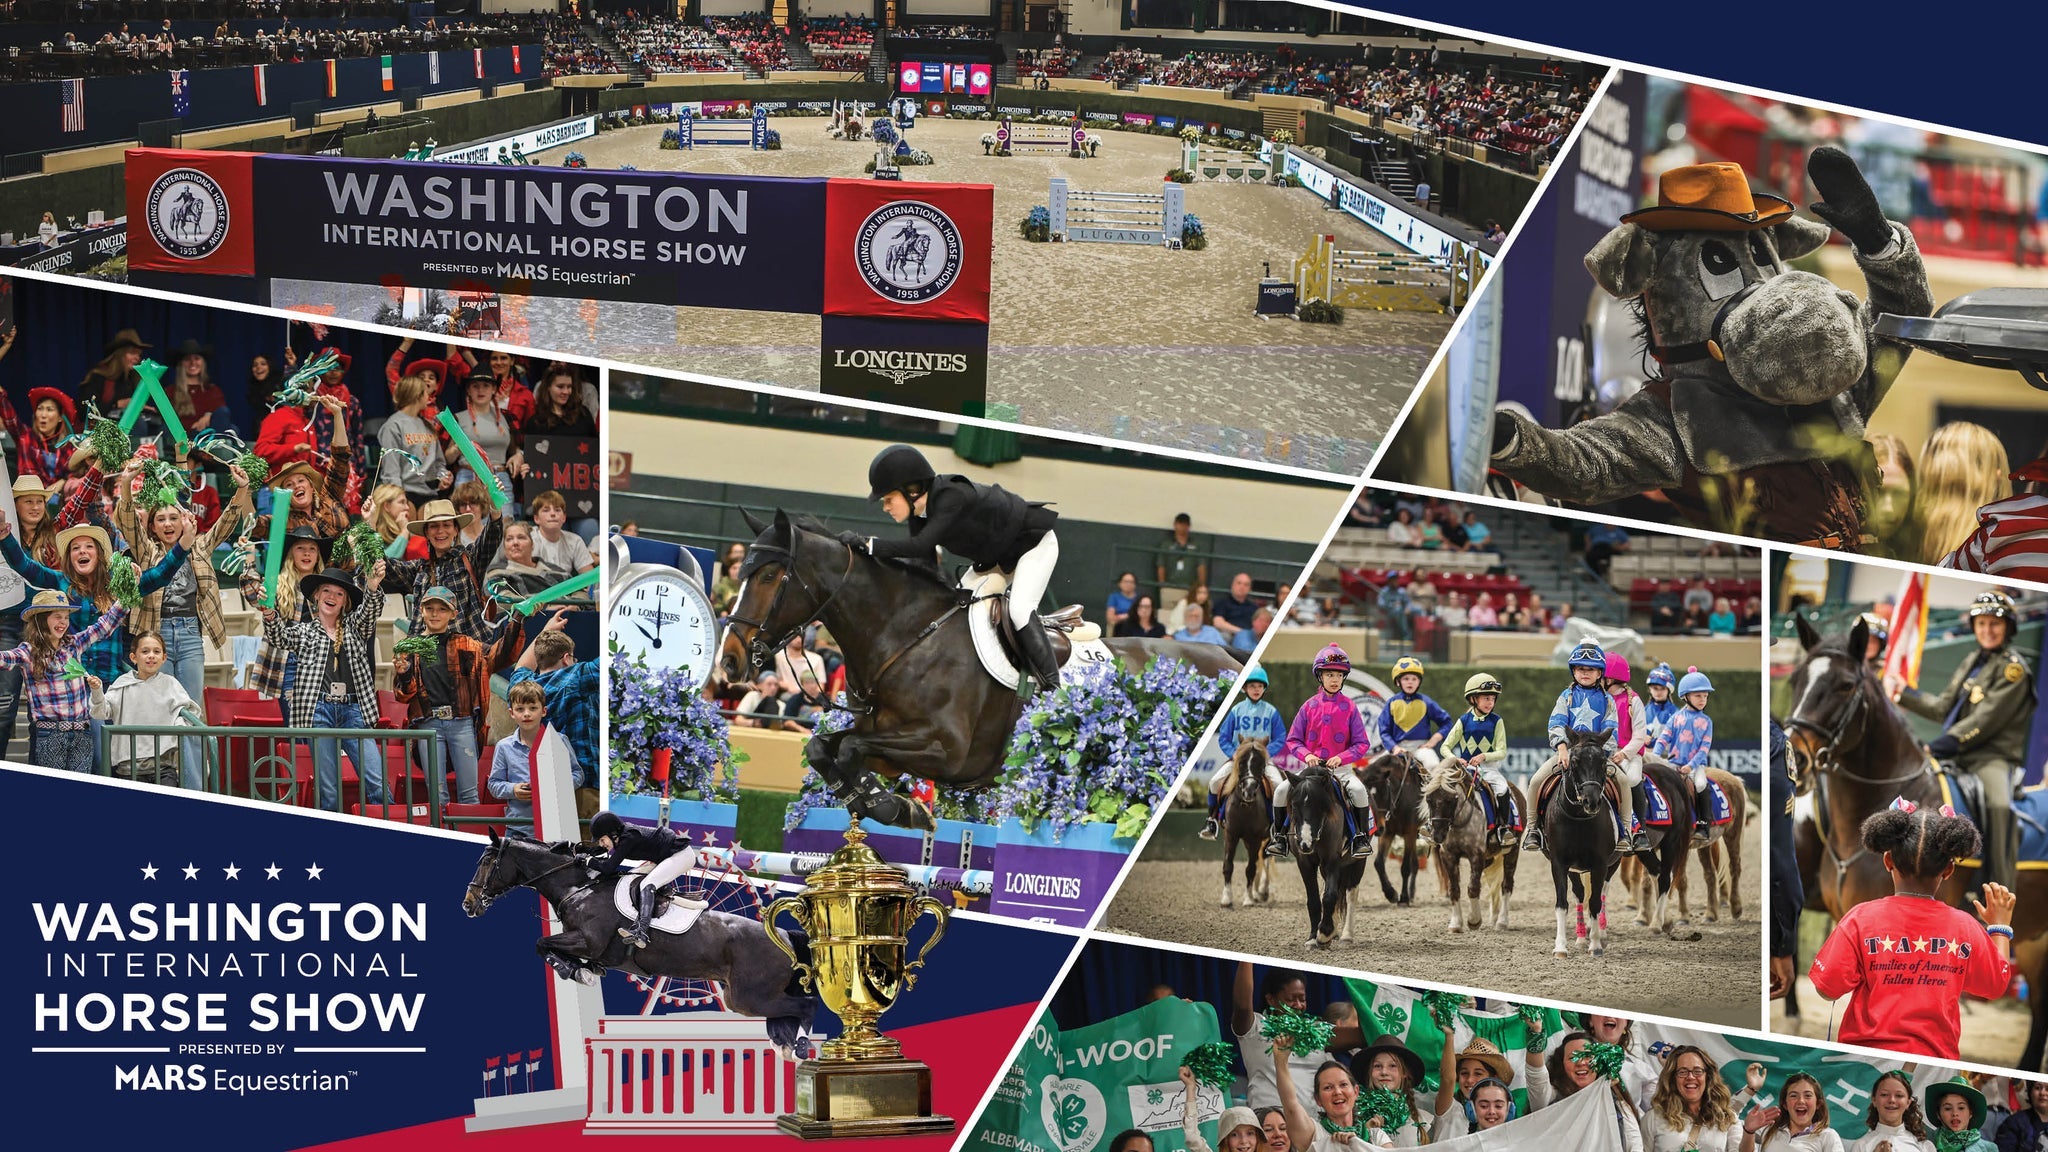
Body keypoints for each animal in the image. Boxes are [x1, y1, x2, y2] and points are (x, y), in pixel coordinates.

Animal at [464, 828, 815, 1057]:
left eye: (487, 862)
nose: (468, 905)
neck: (578, 888)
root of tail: (784, 936)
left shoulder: (588, 941)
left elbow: (541, 943)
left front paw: (578, 971)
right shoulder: (584, 944)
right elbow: (547, 946)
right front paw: (583, 970)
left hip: (749, 998)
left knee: (806, 1005)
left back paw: (800, 1048)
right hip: (743, 997)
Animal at [720, 508, 1236, 824]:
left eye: (770, 576)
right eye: (741, 573)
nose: (730, 659)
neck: (906, 637)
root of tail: (1227, 658)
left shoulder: (944, 749)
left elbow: (847, 751)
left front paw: (890, 808)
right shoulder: (884, 739)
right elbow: (823, 749)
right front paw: (885, 804)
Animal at [1212, 733, 1261, 906]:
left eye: (1261, 764)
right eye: (1241, 763)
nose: (1249, 790)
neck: (1245, 806)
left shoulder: (1256, 838)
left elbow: (1250, 869)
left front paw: (1247, 899)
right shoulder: (1231, 834)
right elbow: (1228, 865)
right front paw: (1226, 898)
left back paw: (1260, 892)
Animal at [1286, 766, 1368, 947]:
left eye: (1320, 806)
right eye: (1294, 805)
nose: (1305, 843)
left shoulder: (1333, 861)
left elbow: (1330, 897)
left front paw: (1324, 933)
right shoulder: (1305, 862)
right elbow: (1314, 900)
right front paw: (1313, 937)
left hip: (1358, 862)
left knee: (1351, 894)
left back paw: (1346, 936)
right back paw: (1334, 932)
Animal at [1540, 729, 1622, 955]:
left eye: (1603, 761)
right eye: (1574, 761)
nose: (1591, 801)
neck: (1577, 818)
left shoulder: (1600, 864)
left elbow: (1594, 902)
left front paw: (1595, 945)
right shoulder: (1559, 863)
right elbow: (1562, 902)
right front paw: (1561, 947)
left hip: (1613, 863)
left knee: (1601, 893)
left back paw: (1599, 934)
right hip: (1574, 869)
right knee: (1579, 893)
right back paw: (1580, 937)